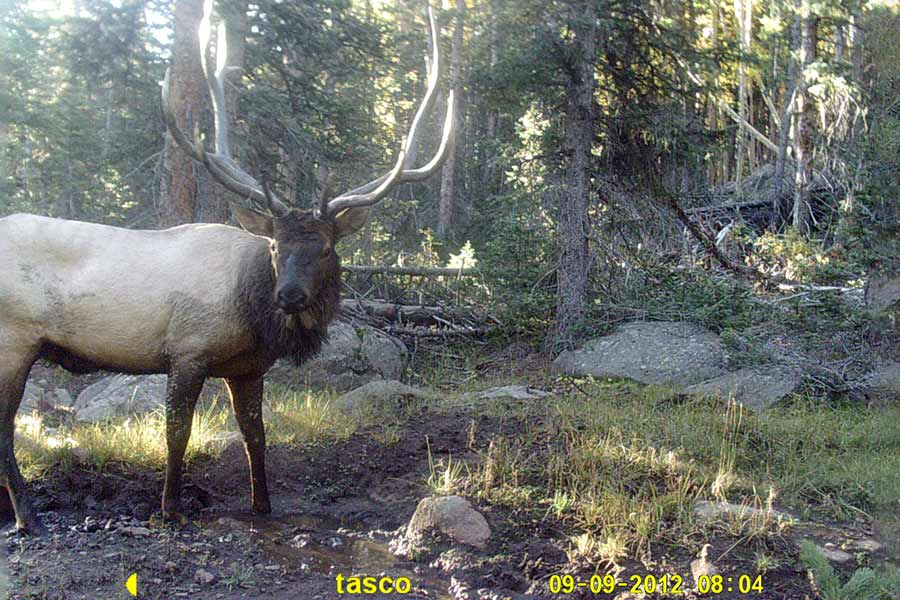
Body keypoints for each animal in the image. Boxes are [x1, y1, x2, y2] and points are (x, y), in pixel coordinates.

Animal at [0, 0, 454, 536]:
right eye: (275, 246)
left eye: (326, 248)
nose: (290, 295)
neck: (252, 314)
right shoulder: (188, 349)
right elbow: (177, 433)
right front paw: (170, 508)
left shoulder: (247, 368)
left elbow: (255, 434)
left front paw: (263, 504)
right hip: (14, 338)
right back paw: (27, 515)